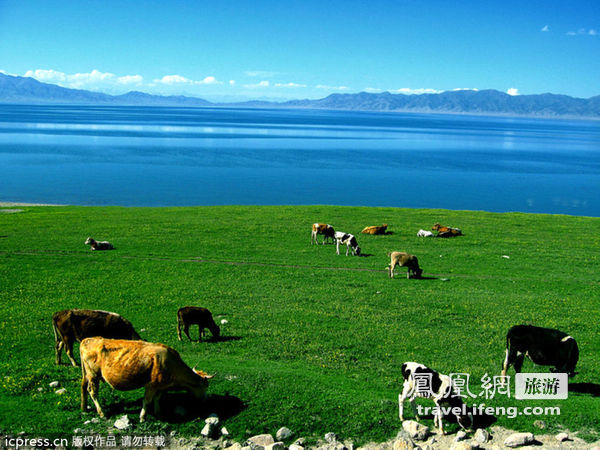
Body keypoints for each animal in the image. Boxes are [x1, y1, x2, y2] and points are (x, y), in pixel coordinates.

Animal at [78, 338, 212, 422]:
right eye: (205, 386)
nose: (206, 399)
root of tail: (88, 339)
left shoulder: (161, 386)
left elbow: (157, 398)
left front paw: (158, 413)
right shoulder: (151, 385)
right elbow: (147, 401)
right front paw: (142, 417)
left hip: (88, 375)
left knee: (85, 388)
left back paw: (85, 408)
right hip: (93, 375)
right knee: (93, 392)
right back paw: (102, 413)